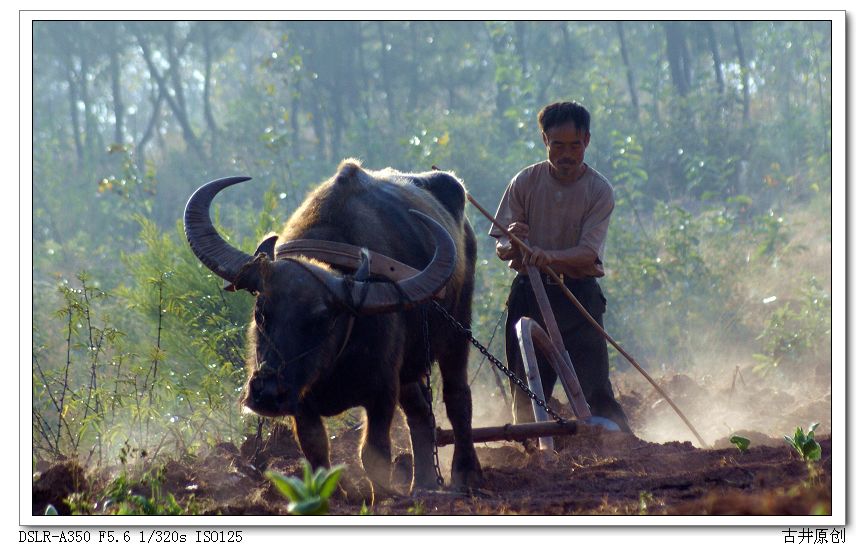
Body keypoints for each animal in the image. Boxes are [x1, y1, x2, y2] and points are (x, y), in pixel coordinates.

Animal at [183, 157, 482, 492]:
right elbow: (315, 452)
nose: (267, 393)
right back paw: (424, 483)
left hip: (458, 329)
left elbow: (374, 455)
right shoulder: (301, 399)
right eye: (261, 311)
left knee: (457, 398)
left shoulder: (382, 391)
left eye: (321, 319)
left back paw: (465, 473)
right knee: (419, 411)